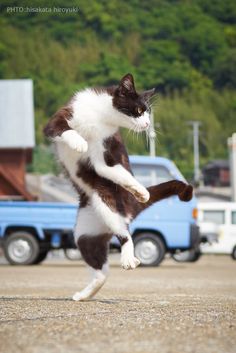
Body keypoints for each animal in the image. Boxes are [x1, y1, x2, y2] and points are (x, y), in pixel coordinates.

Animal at [43, 73, 193, 300]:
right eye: (139, 110)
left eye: (148, 112)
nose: (147, 123)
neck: (100, 118)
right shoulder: (62, 117)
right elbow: (64, 129)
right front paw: (78, 142)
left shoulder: (102, 147)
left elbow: (114, 170)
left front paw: (142, 191)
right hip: (85, 231)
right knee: (101, 270)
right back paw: (84, 295)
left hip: (109, 204)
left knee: (125, 235)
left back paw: (129, 258)